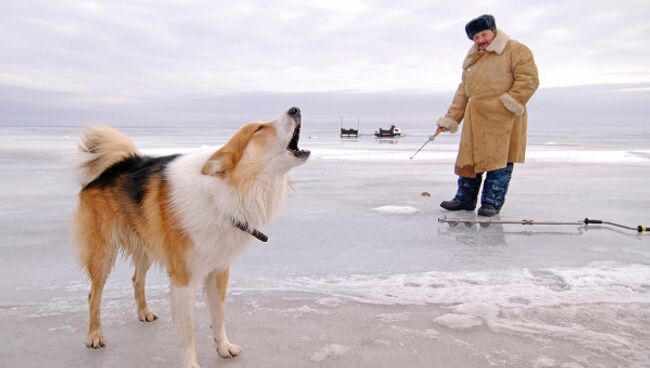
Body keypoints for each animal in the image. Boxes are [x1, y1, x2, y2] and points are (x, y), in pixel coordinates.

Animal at [72, 107, 310, 368]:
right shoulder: (183, 279)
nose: (295, 109)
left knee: (137, 279)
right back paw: (95, 335)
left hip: (146, 246)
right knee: (93, 295)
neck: (221, 194)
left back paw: (144, 313)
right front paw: (190, 363)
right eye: (258, 129)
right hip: (102, 253)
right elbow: (188, 331)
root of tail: (113, 166)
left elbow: (219, 315)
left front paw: (223, 347)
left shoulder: (218, 270)